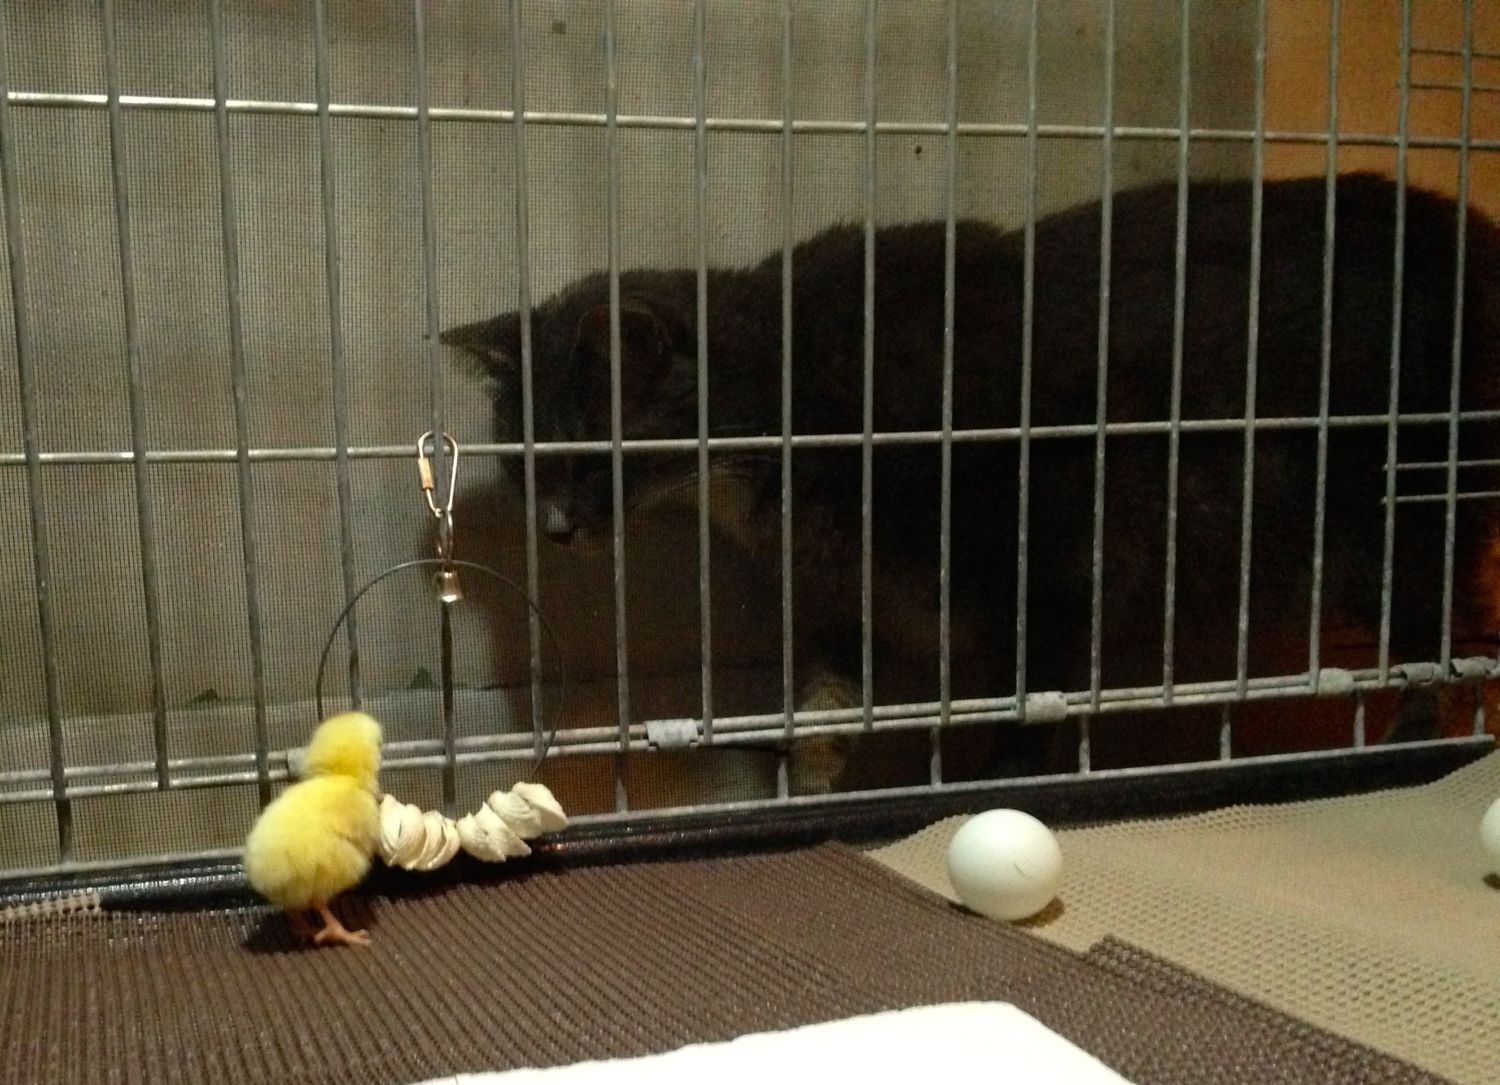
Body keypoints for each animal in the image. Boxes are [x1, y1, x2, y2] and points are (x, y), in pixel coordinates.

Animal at [444, 172, 1500, 792]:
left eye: (591, 450)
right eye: (521, 457)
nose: (554, 526)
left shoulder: (1043, 546)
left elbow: (1032, 694)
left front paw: (1000, 782)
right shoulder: (848, 591)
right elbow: (829, 690)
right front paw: (813, 770)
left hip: (1390, 505)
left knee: (1441, 636)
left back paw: (1410, 734)